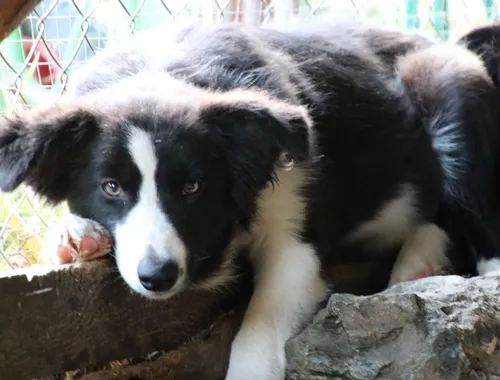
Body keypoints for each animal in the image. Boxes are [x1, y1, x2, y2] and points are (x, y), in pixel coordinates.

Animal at [2, 21, 500, 380]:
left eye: (192, 188)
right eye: (111, 187)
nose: (157, 277)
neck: (162, 70)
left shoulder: (294, 233)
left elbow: (259, 326)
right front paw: (74, 235)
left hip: (449, 89)